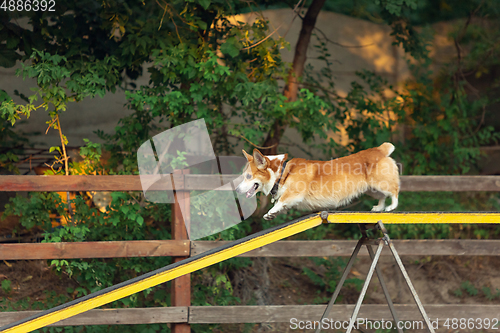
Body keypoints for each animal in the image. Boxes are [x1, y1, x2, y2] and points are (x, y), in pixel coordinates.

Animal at [235, 141, 402, 219]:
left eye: (248, 176)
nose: (236, 190)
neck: (282, 172)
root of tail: (380, 149)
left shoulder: (294, 193)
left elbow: (281, 200)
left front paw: (271, 211)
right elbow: (280, 205)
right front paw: (271, 214)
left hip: (380, 183)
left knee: (394, 191)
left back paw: (391, 207)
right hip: (371, 189)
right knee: (382, 197)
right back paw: (378, 208)